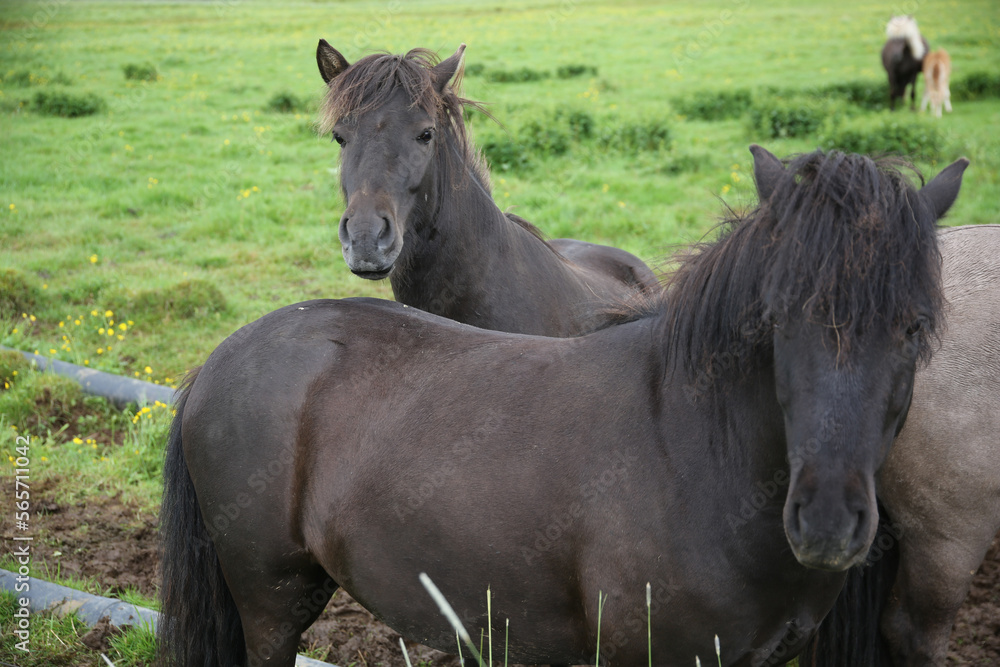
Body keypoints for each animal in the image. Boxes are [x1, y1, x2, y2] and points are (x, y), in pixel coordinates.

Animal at [156, 147, 966, 667]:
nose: (827, 521)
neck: (695, 456)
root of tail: (218, 359)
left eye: (914, 326)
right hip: (270, 604)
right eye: (776, 320)